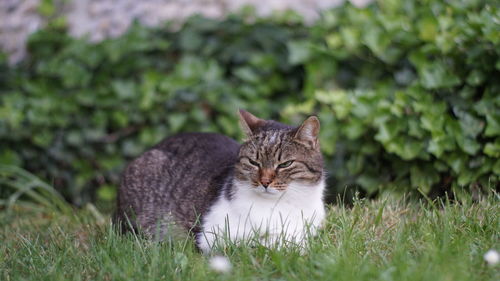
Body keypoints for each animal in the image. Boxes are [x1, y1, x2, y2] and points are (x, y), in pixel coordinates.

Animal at [114, 109, 326, 252]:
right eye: (253, 162)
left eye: (285, 164)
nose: (265, 181)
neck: (281, 205)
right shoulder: (213, 237)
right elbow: (264, 244)